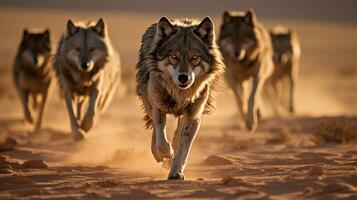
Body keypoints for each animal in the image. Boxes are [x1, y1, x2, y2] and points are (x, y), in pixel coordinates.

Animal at [136, 16, 222, 180]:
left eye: (194, 57)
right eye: (173, 56)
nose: (183, 77)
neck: (180, 94)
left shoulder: (194, 116)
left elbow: (183, 147)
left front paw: (176, 172)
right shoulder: (158, 108)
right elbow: (161, 140)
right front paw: (166, 153)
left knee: (178, 131)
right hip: (150, 104)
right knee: (156, 132)